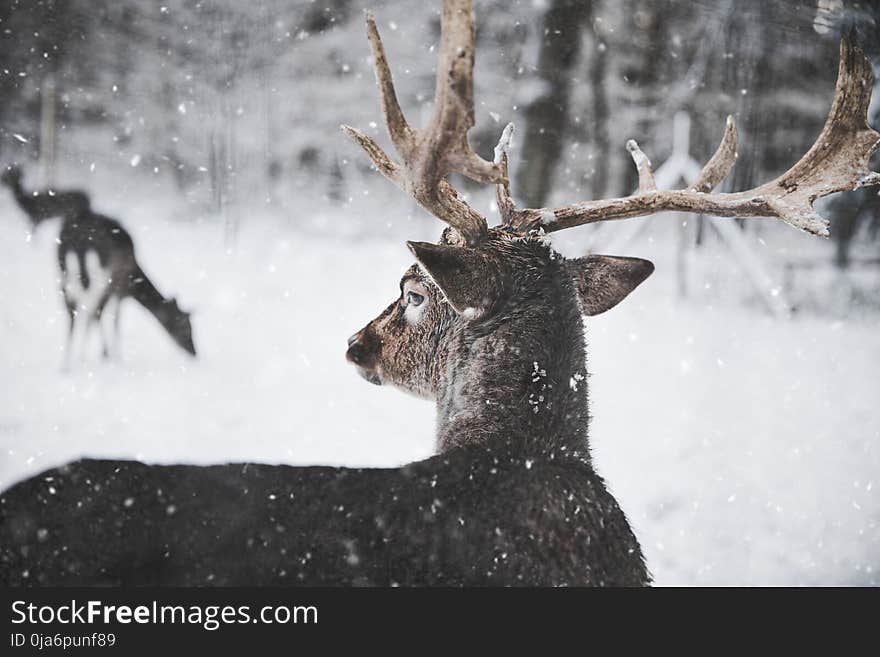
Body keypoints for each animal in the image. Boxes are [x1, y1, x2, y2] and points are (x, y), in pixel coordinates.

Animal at [58, 208, 198, 364]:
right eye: (185, 326)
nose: (194, 353)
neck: (134, 283)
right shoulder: (119, 288)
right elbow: (114, 319)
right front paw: (112, 355)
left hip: (64, 269)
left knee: (73, 309)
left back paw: (68, 362)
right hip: (100, 275)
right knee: (89, 308)